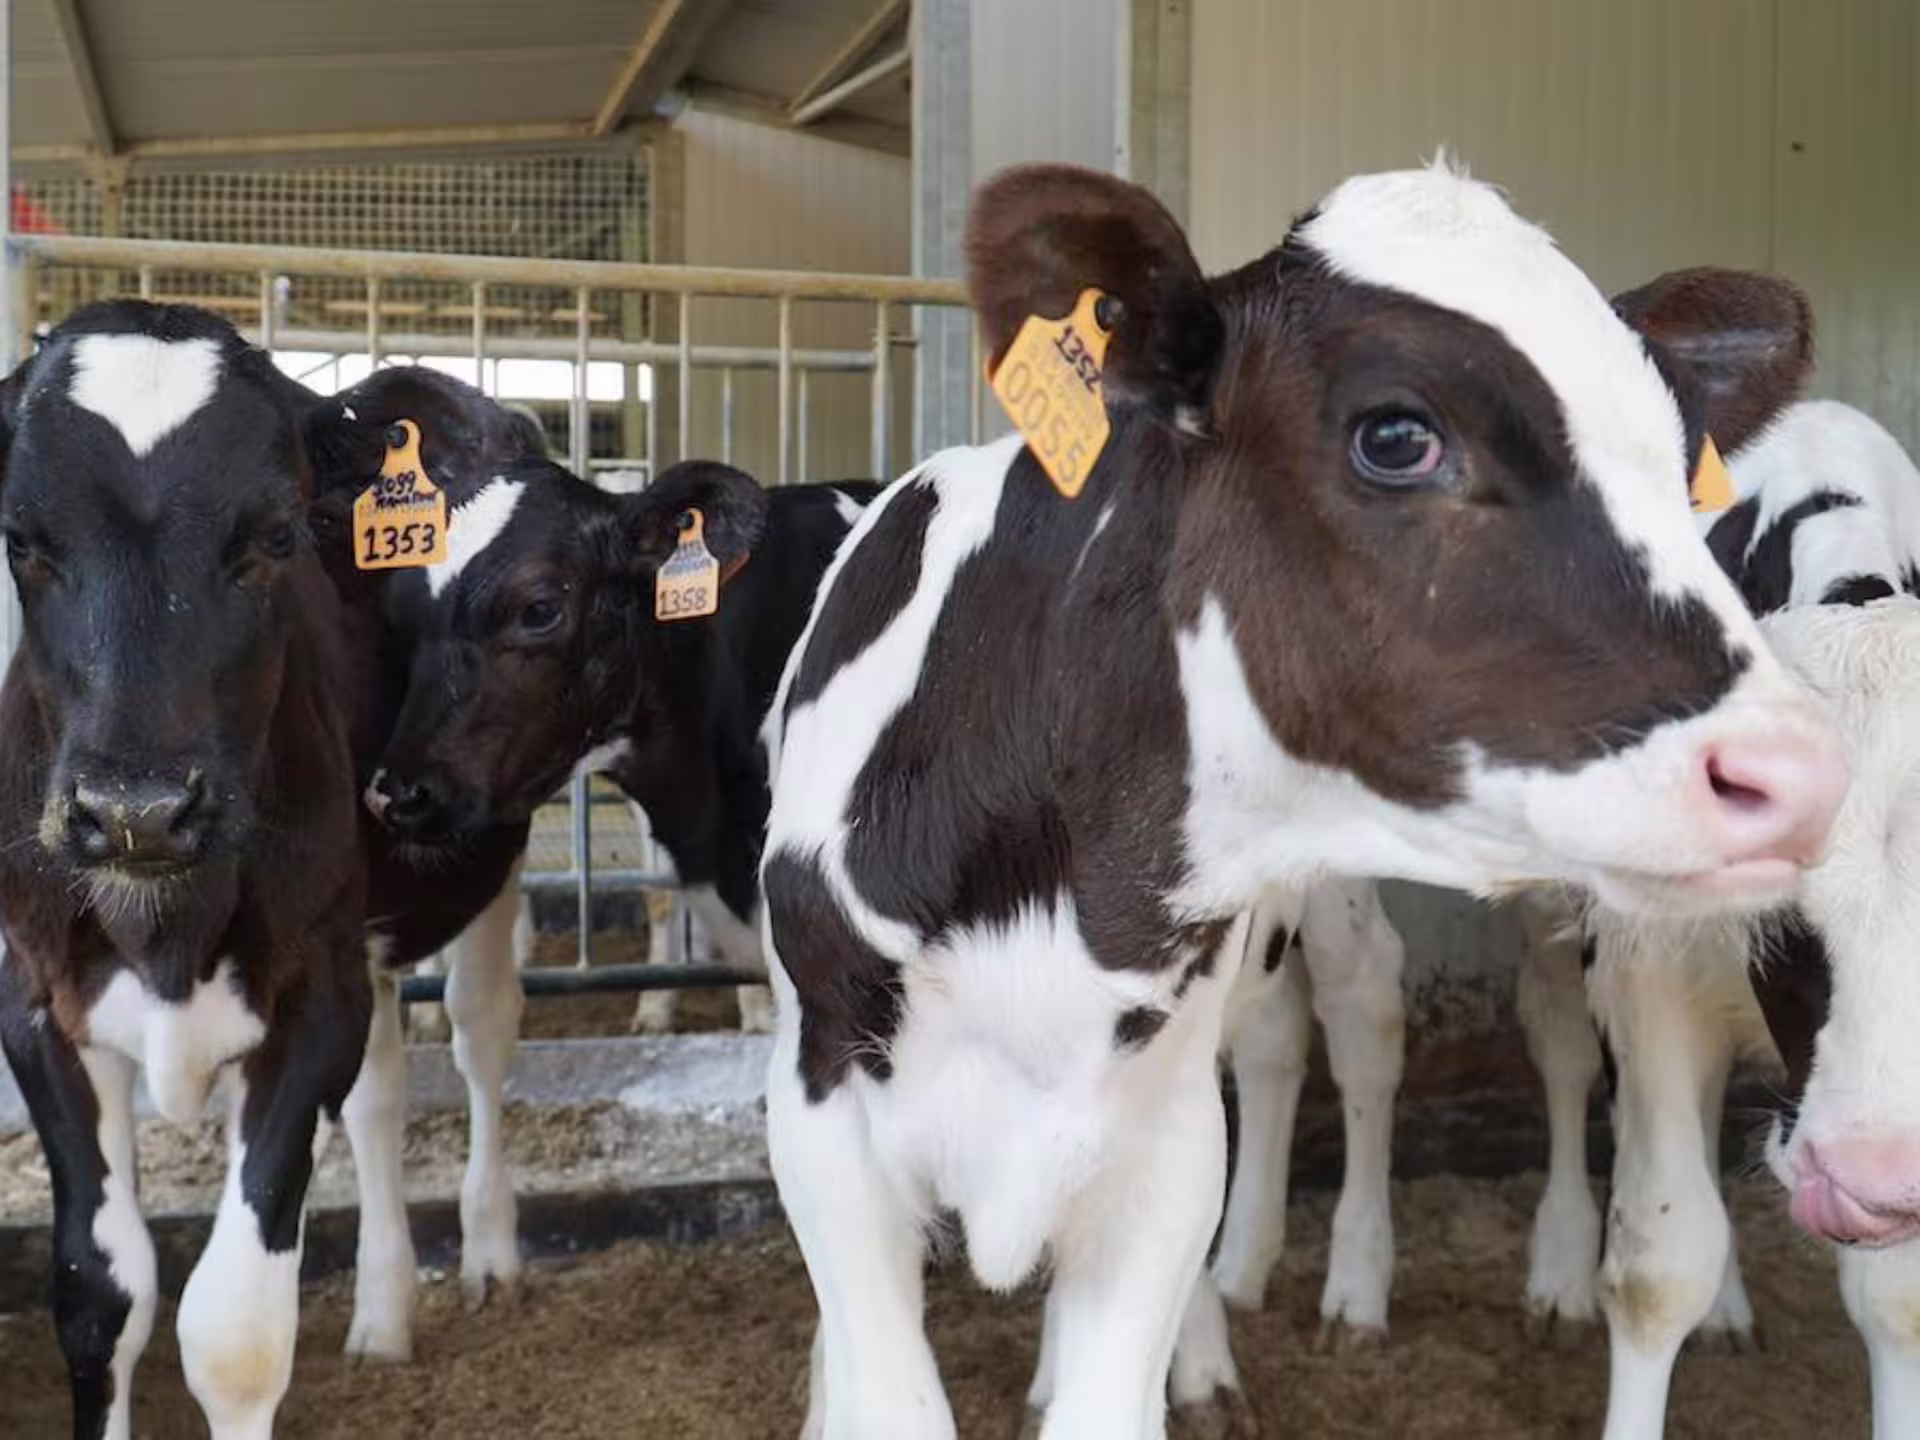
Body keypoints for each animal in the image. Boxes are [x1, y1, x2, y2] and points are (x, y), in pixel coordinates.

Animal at [0, 301, 369, 1439]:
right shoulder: (33, 1001)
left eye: (278, 536)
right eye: (22, 540)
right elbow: (99, 1295)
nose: (138, 811)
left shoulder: (325, 1000)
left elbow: (236, 1333)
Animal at [760, 161, 1851, 1440]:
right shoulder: (821, 1107)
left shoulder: (1163, 1140)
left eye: (1685, 464)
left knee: (1349, 1022)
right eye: (1397, 437)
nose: (1800, 771)